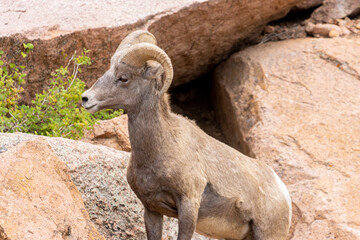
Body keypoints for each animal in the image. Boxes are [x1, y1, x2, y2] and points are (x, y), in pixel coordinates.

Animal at [82, 30, 292, 240]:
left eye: (124, 78)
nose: (86, 98)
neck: (159, 150)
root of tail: (284, 195)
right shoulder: (151, 210)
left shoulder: (188, 206)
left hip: (267, 234)